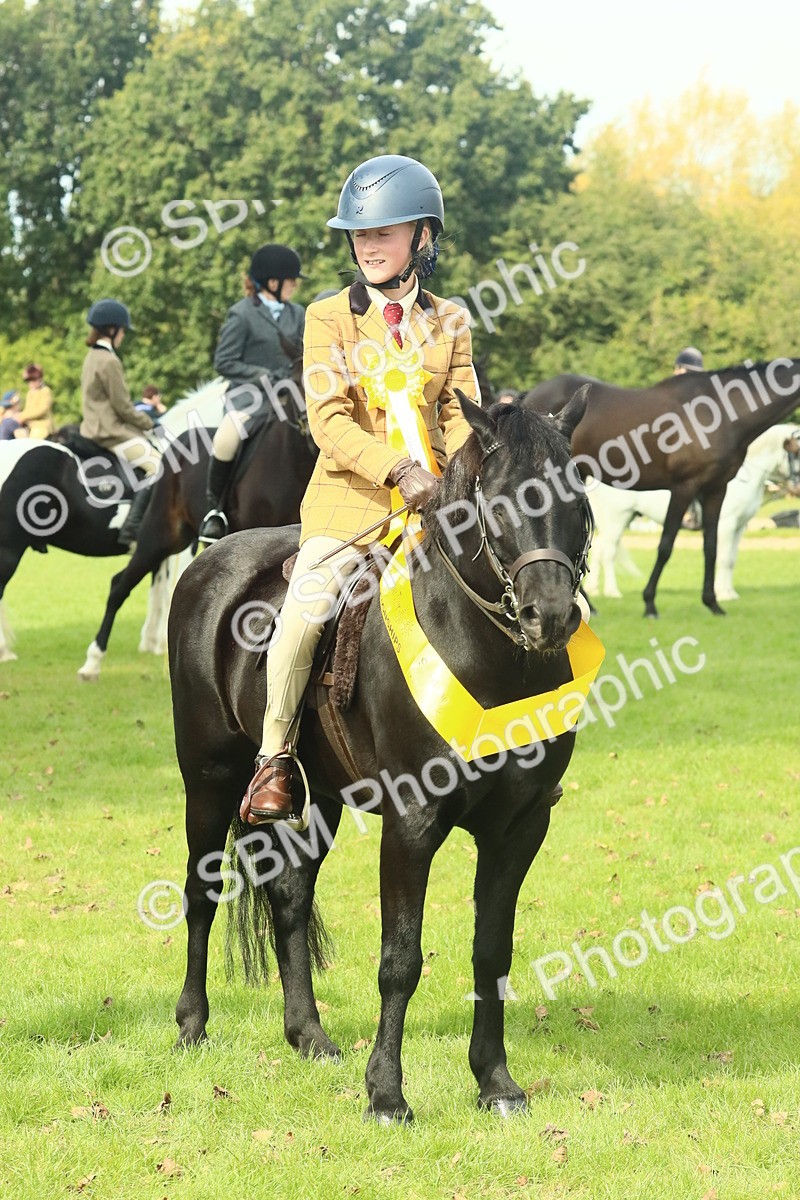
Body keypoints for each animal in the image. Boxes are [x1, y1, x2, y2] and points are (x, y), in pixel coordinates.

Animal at [0, 386, 222, 665]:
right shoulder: (180, 547)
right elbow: (168, 590)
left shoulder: (156, 549)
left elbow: (157, 591)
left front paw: (151, 642)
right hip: (10, 549)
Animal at [169, 390, 600, 1123]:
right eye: (500, 501)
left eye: (578, 497)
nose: (549, 617)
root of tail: (210, 560)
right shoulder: (411, 824)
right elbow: (400, 958)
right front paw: (387, 1095)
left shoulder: (519, 828)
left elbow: (492, 951)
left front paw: (496, 1083)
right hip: (209, 779)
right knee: (202, 892)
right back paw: (192, 1026)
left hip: (316, 798)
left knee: (289, 896)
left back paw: (309, 1037)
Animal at [586, 423, 800, 601]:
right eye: (796, 452)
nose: (797, 488)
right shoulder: (726, 525)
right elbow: (723, 558)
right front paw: (723, 594)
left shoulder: (739, 527)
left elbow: (731, 560)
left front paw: (730, 593)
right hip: (617, 519)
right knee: (609, 553)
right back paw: (612, 591)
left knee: (598, 551)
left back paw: (594, 589)